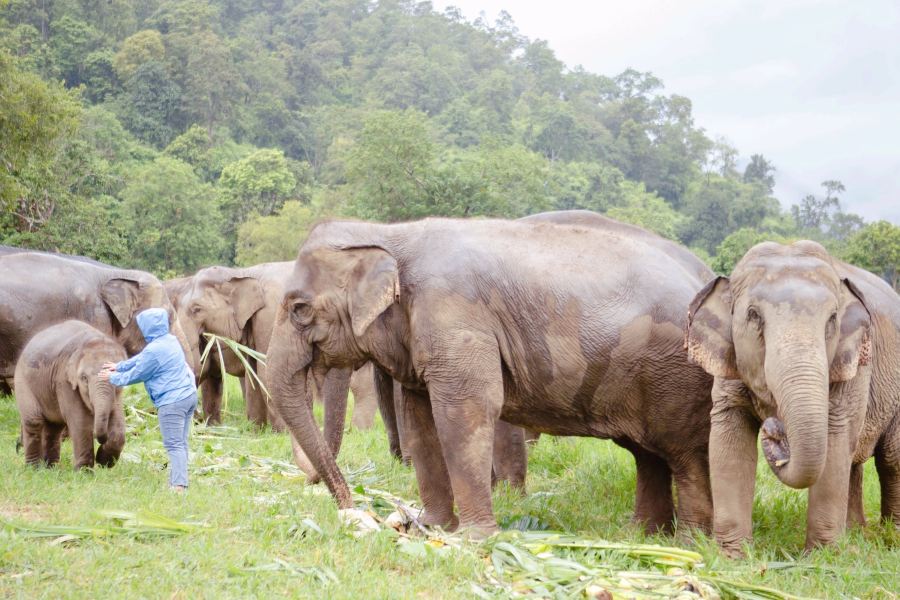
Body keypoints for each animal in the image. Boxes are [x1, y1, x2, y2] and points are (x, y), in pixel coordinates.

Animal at [15, 320, 127, 469]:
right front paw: (85, 471)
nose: (101, 441)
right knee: (34, 421)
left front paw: (105, 461)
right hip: (22, 382)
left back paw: (51, 468)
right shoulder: (64, 380)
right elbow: (80, 421)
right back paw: (34, 469)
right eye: (84, 378)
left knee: (54, 427)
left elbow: (117, 418)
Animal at [265, 211, 716, 536]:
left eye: (299, 308)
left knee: (684, 455)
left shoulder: (455, 313)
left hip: (677, 376)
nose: (352, 508)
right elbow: (420, 417)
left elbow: (465, 408)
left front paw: (474, 539)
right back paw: (644, 536)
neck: (390, 234)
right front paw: (431, 527)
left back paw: (689, 543)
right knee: (647, 453)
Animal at [686, 240, 900, 555]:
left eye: (832, 319)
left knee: (891, 459)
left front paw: (822, 557)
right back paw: (855, 533)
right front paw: (733, 555)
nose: (774, 429)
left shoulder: (853, 367)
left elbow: (835, 438)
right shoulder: (729, 364)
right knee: (854, 464)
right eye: (753, 315)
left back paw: (890, 538)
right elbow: (728, 440)